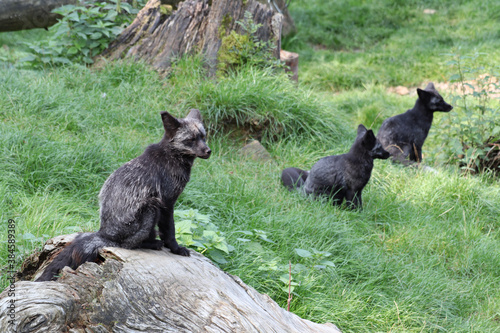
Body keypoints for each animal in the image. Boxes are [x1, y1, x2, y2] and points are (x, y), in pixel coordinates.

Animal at [35, 108, 211, 280]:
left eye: (203, 137)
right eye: (191, 139)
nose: (208, 151)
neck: (171, 156)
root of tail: (104, 234)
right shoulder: (167, 203)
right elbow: (170, 231)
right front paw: (176, 248)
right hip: (152, 207)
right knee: (131, 244)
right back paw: (153, 244)